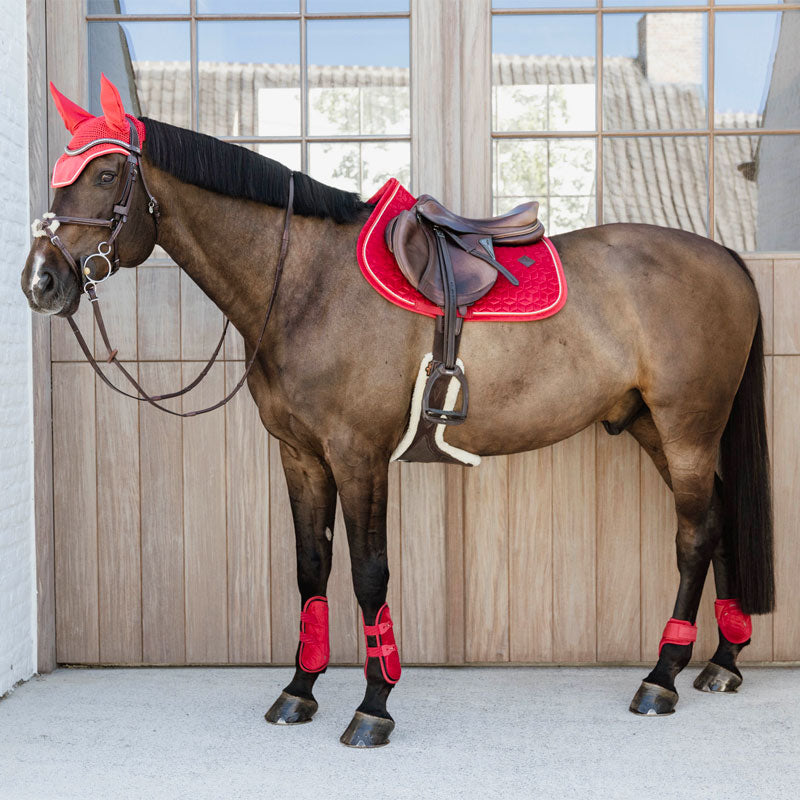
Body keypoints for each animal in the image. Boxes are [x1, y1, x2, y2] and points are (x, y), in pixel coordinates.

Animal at [21, 78, 773, 747]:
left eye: (107, 173)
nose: (40, 281)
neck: (306, 285)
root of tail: (725, 256)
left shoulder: (359, 455)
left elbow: (368, 574)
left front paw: (373, 706)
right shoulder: (301, 455)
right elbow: (311, 569)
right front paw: (299, 691)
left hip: (687, 429)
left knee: (693, 537)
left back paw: (661, 677)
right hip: (654, 427)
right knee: (718, 520)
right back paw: (721, 661)